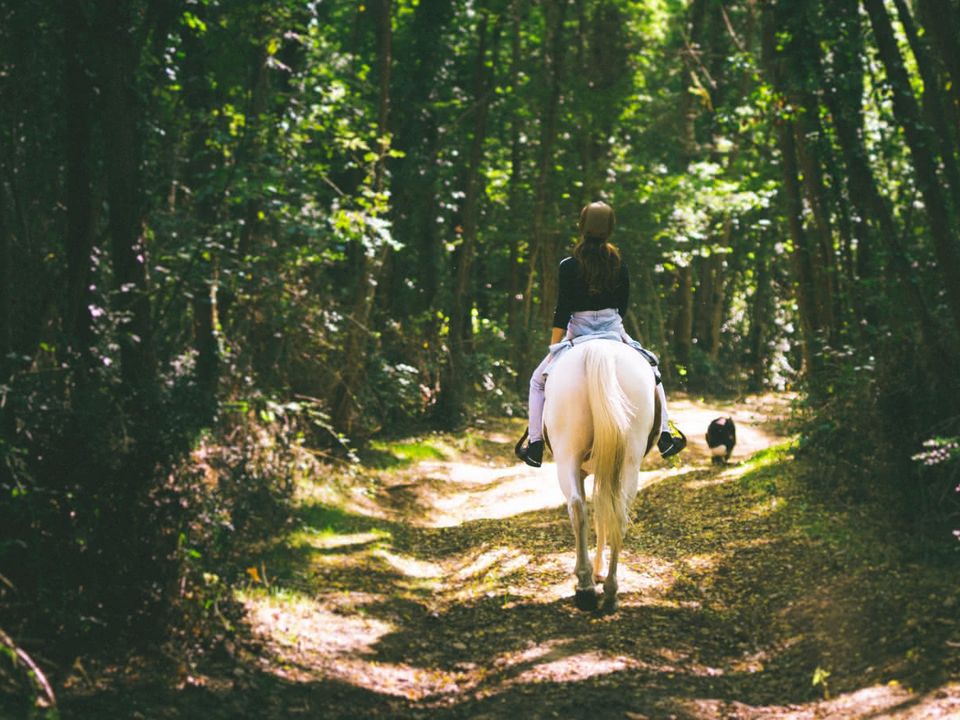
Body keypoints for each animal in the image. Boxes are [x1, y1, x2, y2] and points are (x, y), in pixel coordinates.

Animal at [540, 340, 660, 612]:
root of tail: (599, 349)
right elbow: (603, 513)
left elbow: (598, 514)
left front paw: (596, 569)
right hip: (628, 462)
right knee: (617, 512)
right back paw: (609, 591)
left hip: (568, 456)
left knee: (579, 508)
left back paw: (586, 586)